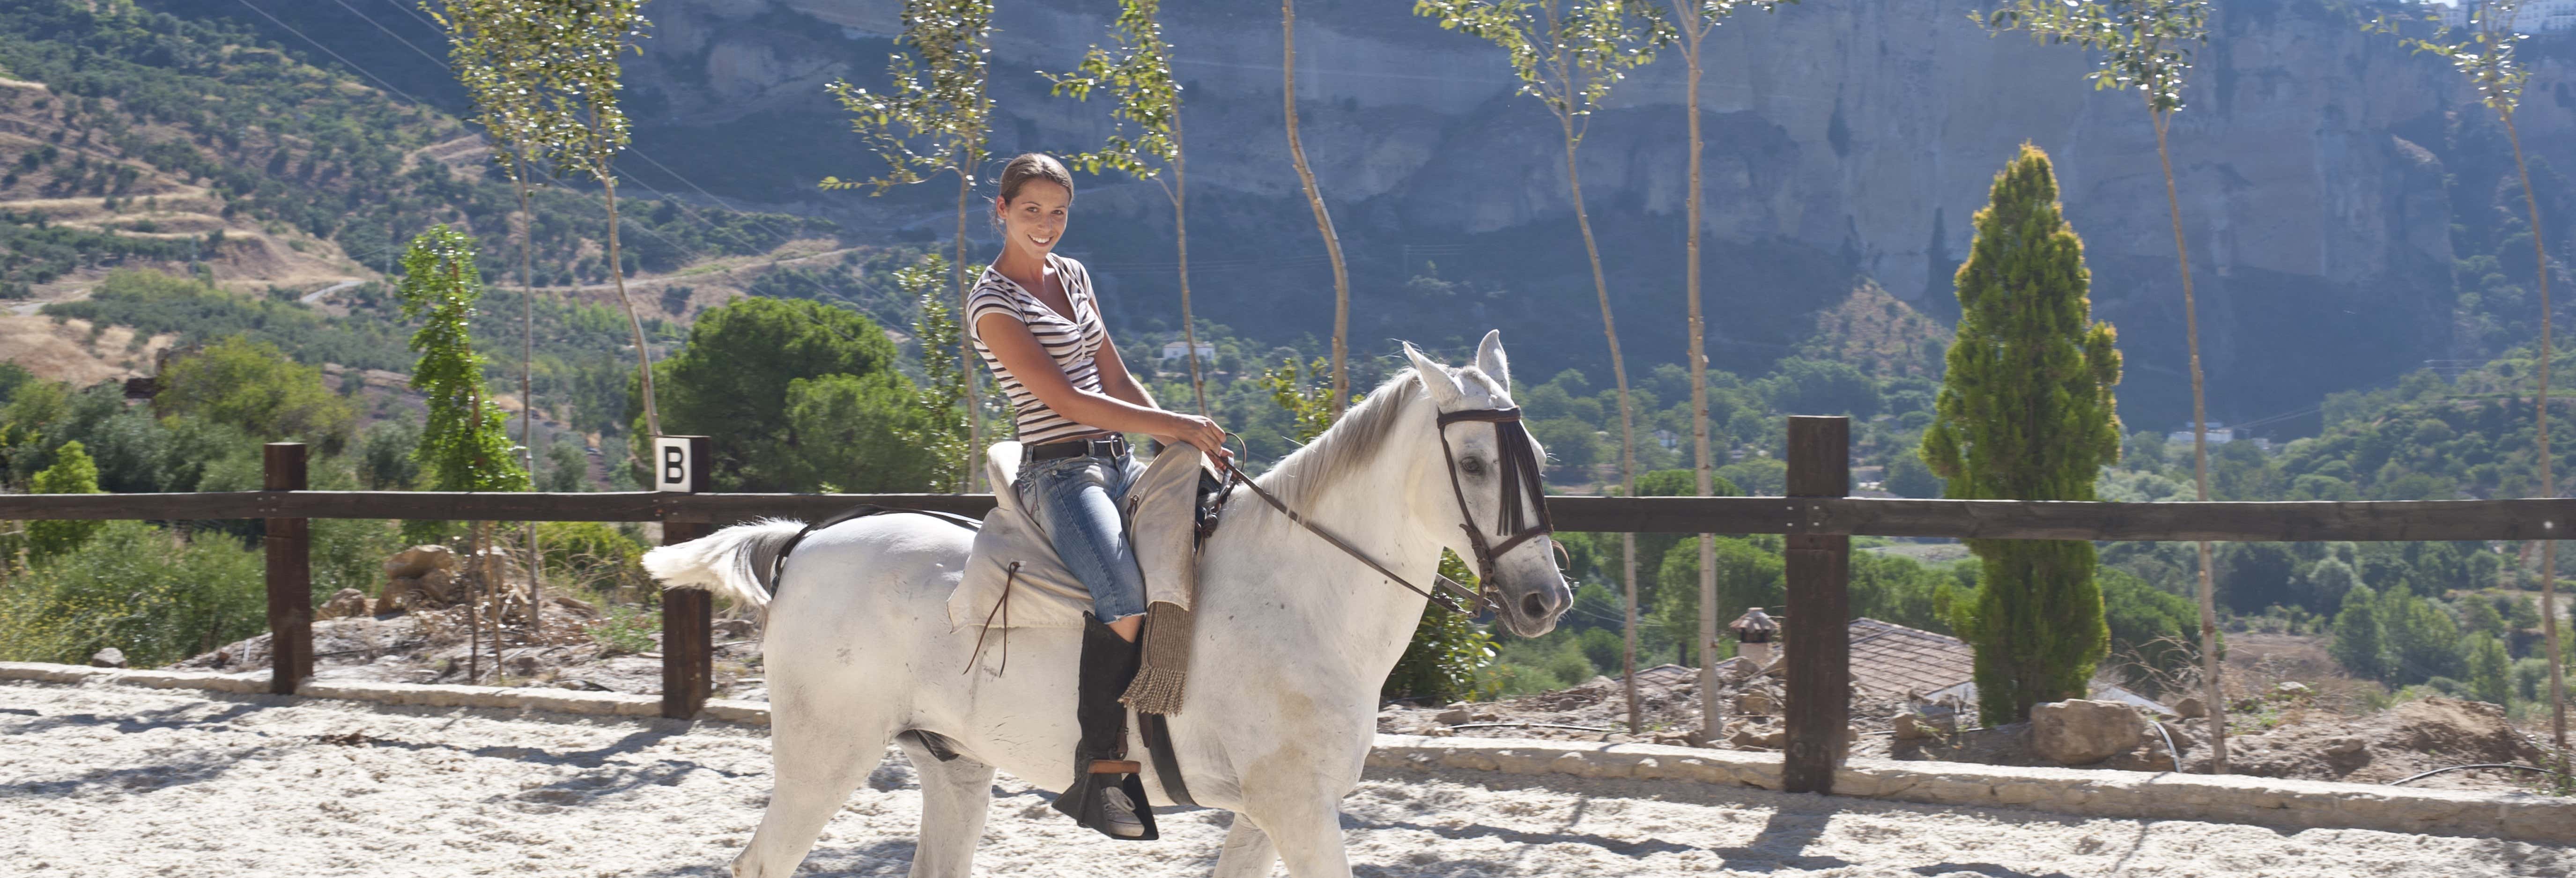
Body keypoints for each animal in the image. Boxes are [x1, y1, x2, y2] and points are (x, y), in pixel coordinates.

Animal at [644, 332, 1566, 875]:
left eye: (1538, 454)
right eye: (1474, 464)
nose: (1544, 600)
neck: (1302, 598)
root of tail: (807, 543)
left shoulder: (1270, 813)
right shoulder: (1297, 809)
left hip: (955, 766)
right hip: (823, 758)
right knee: (762, 861)